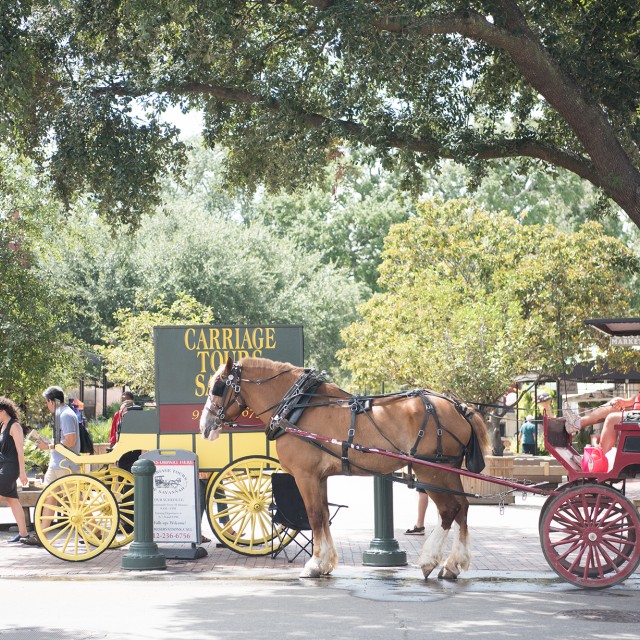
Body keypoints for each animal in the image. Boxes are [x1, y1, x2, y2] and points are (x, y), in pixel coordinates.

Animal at [200, 358, 490, 576]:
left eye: (217, 387)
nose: (205, 426)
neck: (297, 407)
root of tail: (458, 406)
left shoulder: (305, 476)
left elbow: (314, 516)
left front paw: (315, 564)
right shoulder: (320, 477)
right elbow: (323, 515)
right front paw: (325, 562)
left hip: (431, 470)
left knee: (449, 510)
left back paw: (431, 560)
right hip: (448, 470)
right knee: (462, 508)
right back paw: (453, 564)